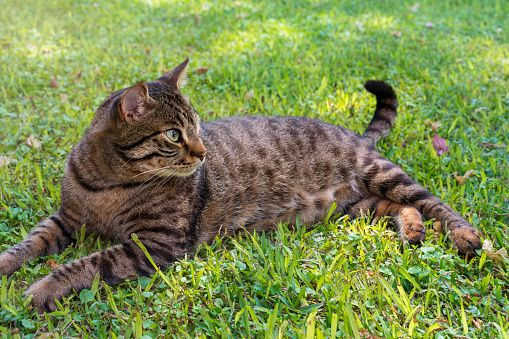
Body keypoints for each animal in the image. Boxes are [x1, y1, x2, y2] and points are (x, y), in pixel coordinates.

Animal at [0, 59, 480, 314]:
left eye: (197, 127)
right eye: (173, 135)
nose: (203, 154)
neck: (109, 182)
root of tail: (356, 135)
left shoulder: (156, 245)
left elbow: (85, 264)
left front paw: (42, 288)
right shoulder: (65, 220)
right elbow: (29, 243)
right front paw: (8, 264)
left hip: (380, 173)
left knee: (435, 203)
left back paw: (467, 237)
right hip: (354, 206)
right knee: (398, 206)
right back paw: (412, 230)